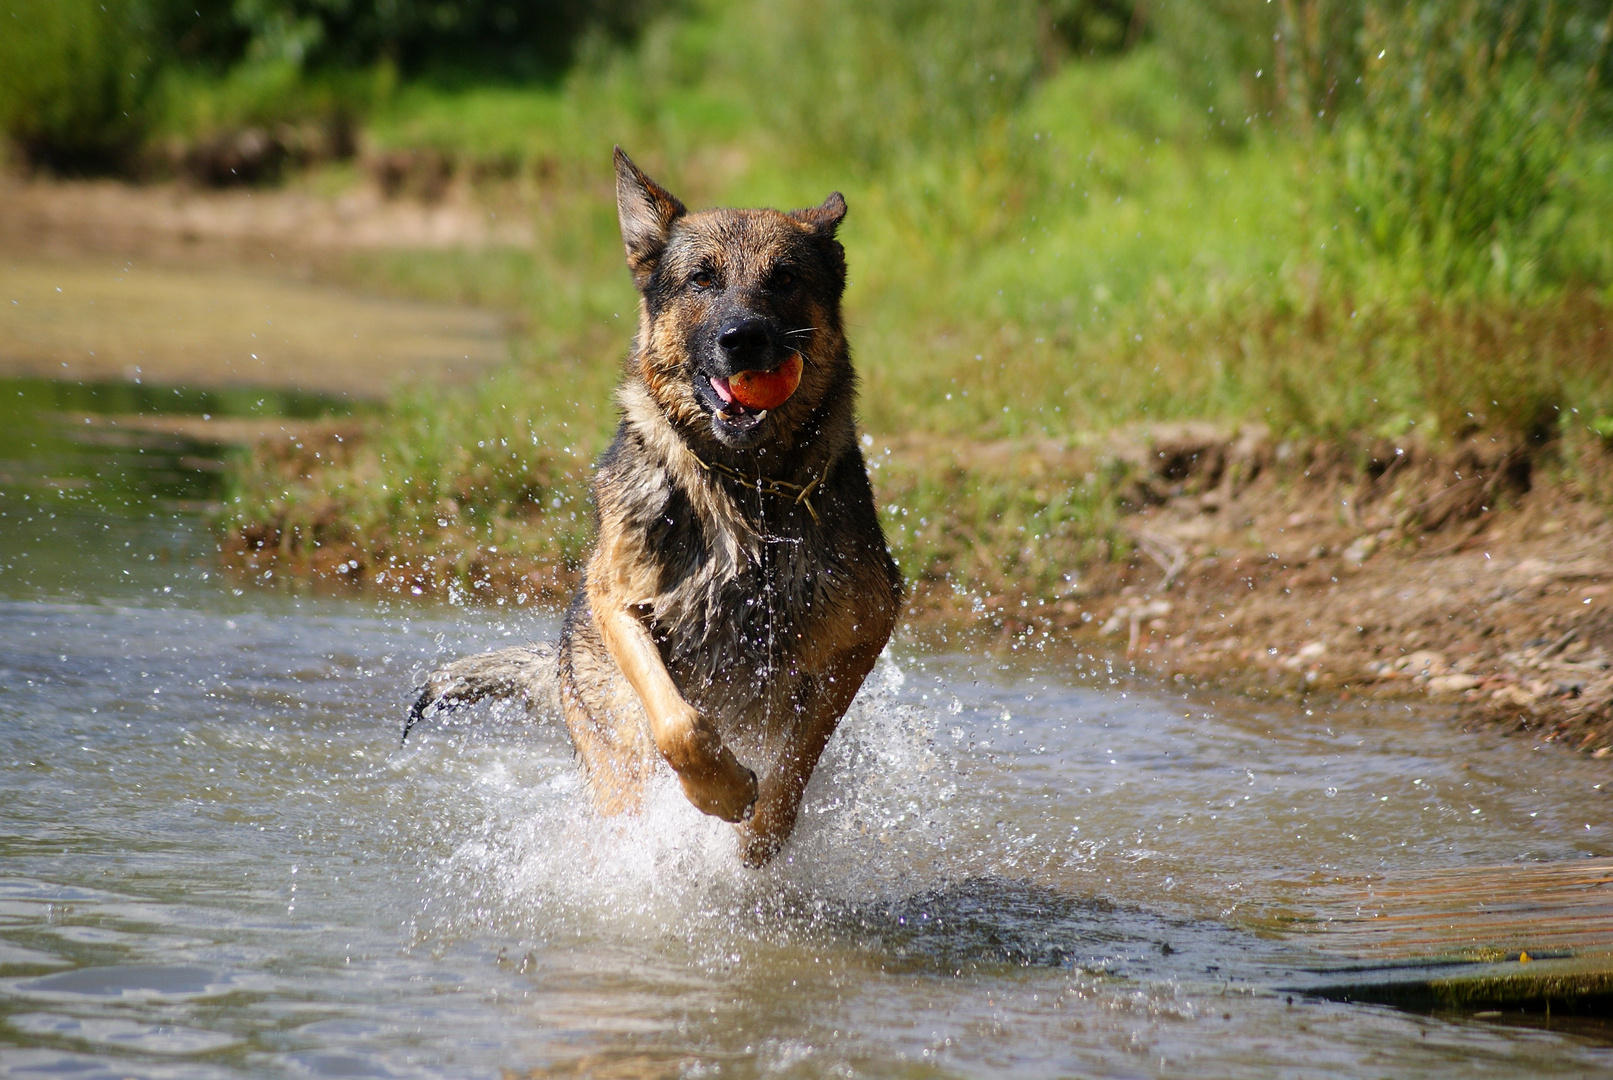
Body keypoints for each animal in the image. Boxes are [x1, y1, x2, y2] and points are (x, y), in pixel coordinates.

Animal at [403, 145, 903, 870]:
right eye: (701, 278)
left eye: (783, 278)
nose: (743, 338)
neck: (744, 488)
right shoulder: (619, 602)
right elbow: (679, 724)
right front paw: (723, 793)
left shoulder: (867, 627)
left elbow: (800, 754)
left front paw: (761, 831)